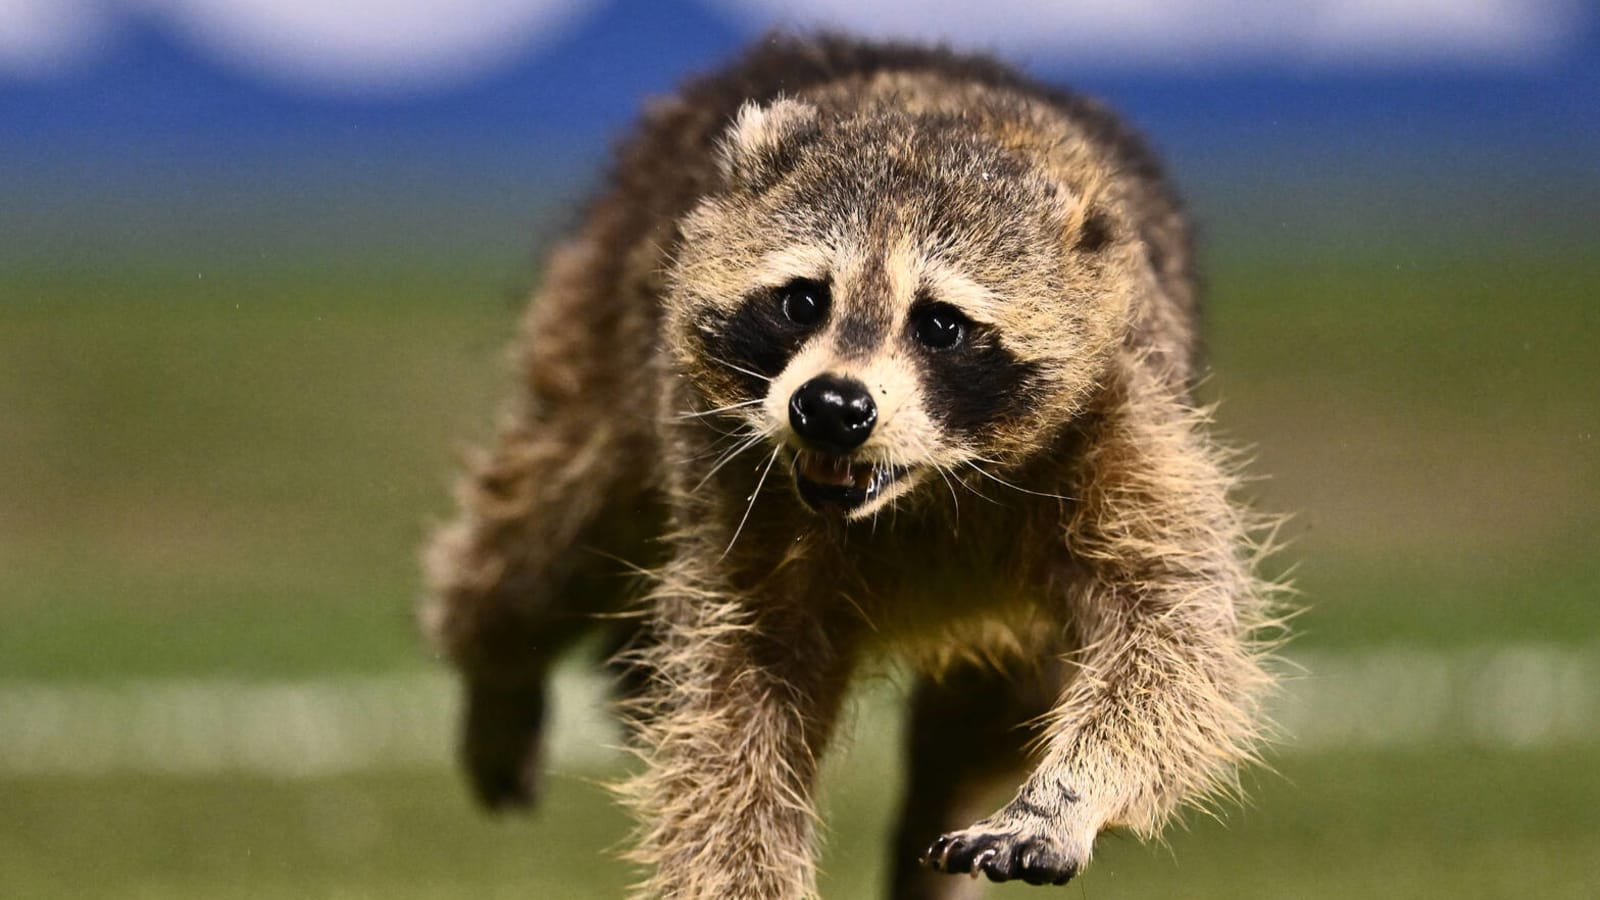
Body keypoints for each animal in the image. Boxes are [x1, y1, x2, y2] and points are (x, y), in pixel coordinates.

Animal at [419, 31, 1280, 890]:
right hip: (603, 329)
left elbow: (1175, 631)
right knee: (545, 536)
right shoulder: (733, 495)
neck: (917, 492)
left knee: (986, 728)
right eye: (802, 300)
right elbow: (729, 727)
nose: (831, 408)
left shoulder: (1123, 417)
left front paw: (1066, 797)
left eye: (940, 324)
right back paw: (495, 670)